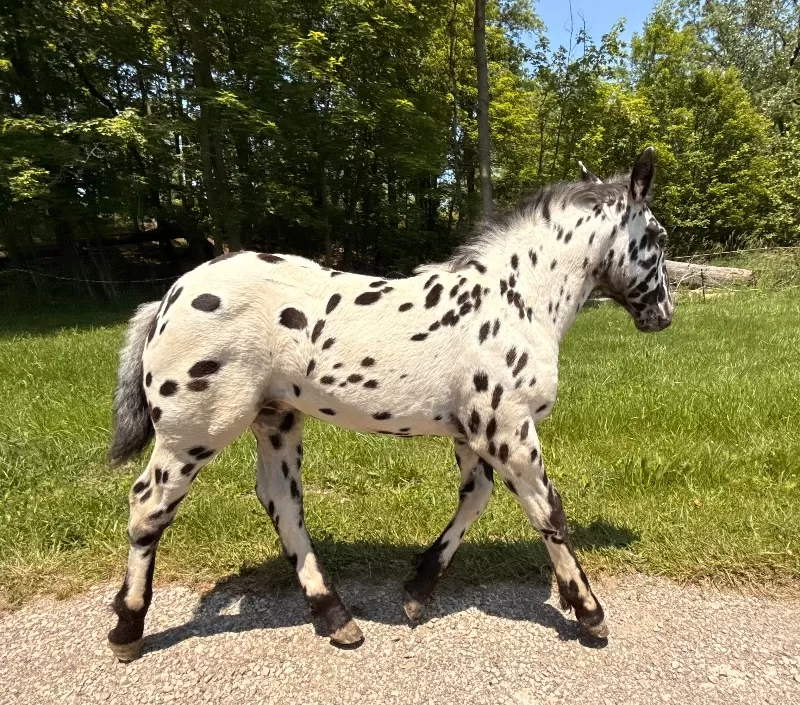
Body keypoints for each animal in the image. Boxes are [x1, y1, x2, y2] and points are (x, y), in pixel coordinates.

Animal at [106, 147, 673, 662]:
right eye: (660, 238)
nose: (664, 315)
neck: (514, 301)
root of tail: (170, 296)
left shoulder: (473, 435)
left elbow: (475, 498)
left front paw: (417, 591)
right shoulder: (508, 432)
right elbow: (548, 511)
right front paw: (590, 613)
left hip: (275, 419)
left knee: (281, 502)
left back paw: (335, 617)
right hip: (194, 433)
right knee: (149, 505)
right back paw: (127, 629)